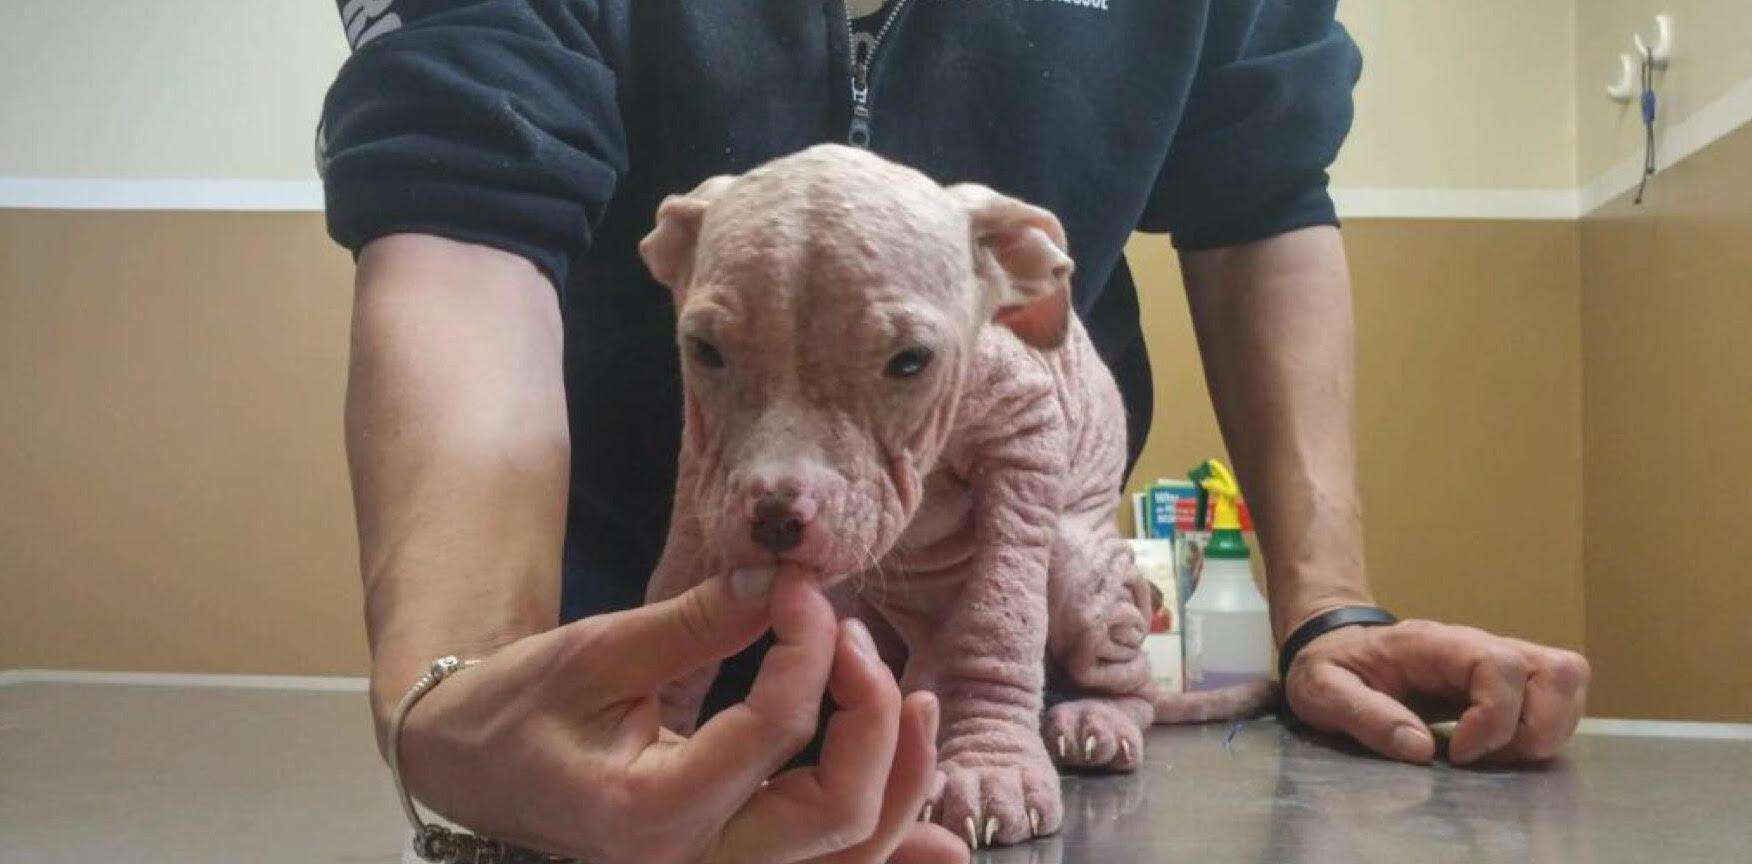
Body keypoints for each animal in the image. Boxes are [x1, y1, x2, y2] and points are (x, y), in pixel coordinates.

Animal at [637, 144, 1268, 844]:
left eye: (912, 360)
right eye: (703, 351)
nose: (775, 517)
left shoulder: (1026, 437)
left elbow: (1000, 618)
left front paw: (992, 767)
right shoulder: (705, 464)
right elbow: (675, 579)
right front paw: (653, 732)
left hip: (1081, 569)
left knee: (1121, 673)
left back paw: (1098, 718)